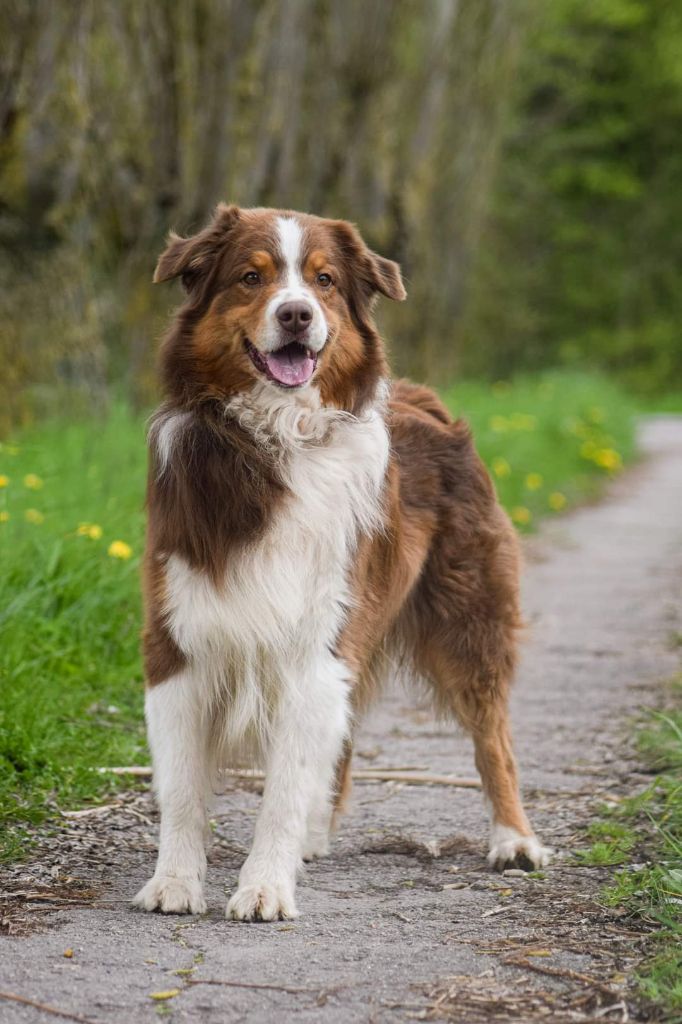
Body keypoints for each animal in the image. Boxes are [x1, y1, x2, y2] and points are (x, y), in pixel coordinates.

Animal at [133, 203, 548, 925]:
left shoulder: (316, 645)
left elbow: (281, 790)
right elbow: (182, 787)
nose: (297, 314)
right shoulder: (177, 639)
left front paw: (264, 887)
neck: (273, 442)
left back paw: (514, 839)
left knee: (492, 738)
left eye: (324, 280)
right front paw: (177, 882)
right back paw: (315, 835)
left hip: (467, 622)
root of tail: (422, 397)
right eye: (251, 277)